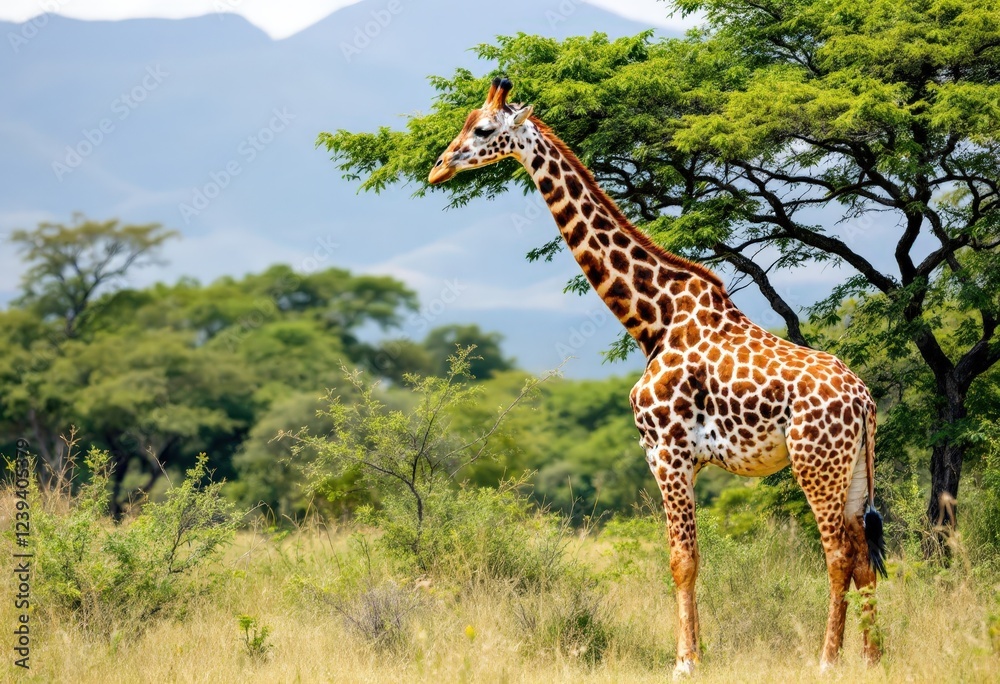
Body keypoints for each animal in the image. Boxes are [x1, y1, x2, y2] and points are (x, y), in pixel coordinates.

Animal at [428, 77, 887, 676]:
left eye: (482, 130)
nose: (437, 168)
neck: (653, 319)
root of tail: (863, 400)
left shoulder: (666, 450)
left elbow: (681, 559)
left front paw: (685, 662)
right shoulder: (679, 456)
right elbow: (690, 557)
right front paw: (700, 654)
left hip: (816, 461)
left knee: (837, 553)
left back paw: (827, 661)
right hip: (853, 467)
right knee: (863, 557)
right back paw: (874, 658)